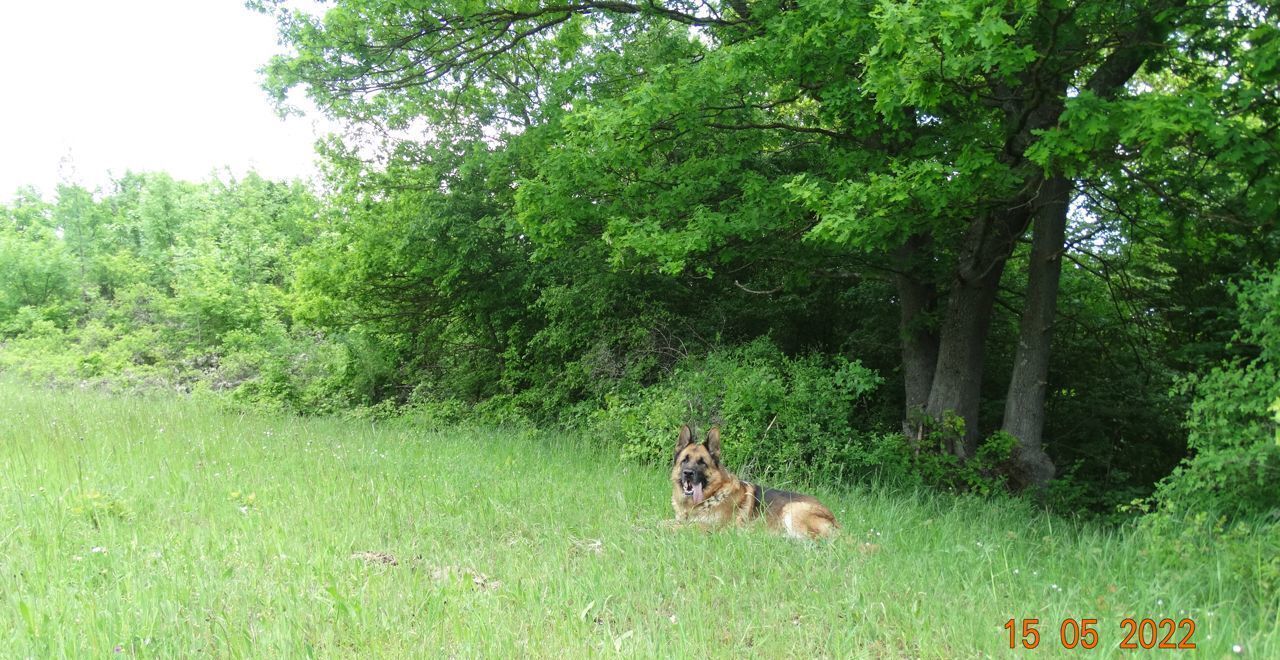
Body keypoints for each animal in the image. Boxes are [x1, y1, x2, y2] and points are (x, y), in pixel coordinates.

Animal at [670, 424, 839, 539]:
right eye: (685, 460)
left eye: (702, 462)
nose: (688, 473)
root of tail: (836, 522)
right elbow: (667, 521)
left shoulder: (703, 527)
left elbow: (669, 526)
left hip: (792, 509)